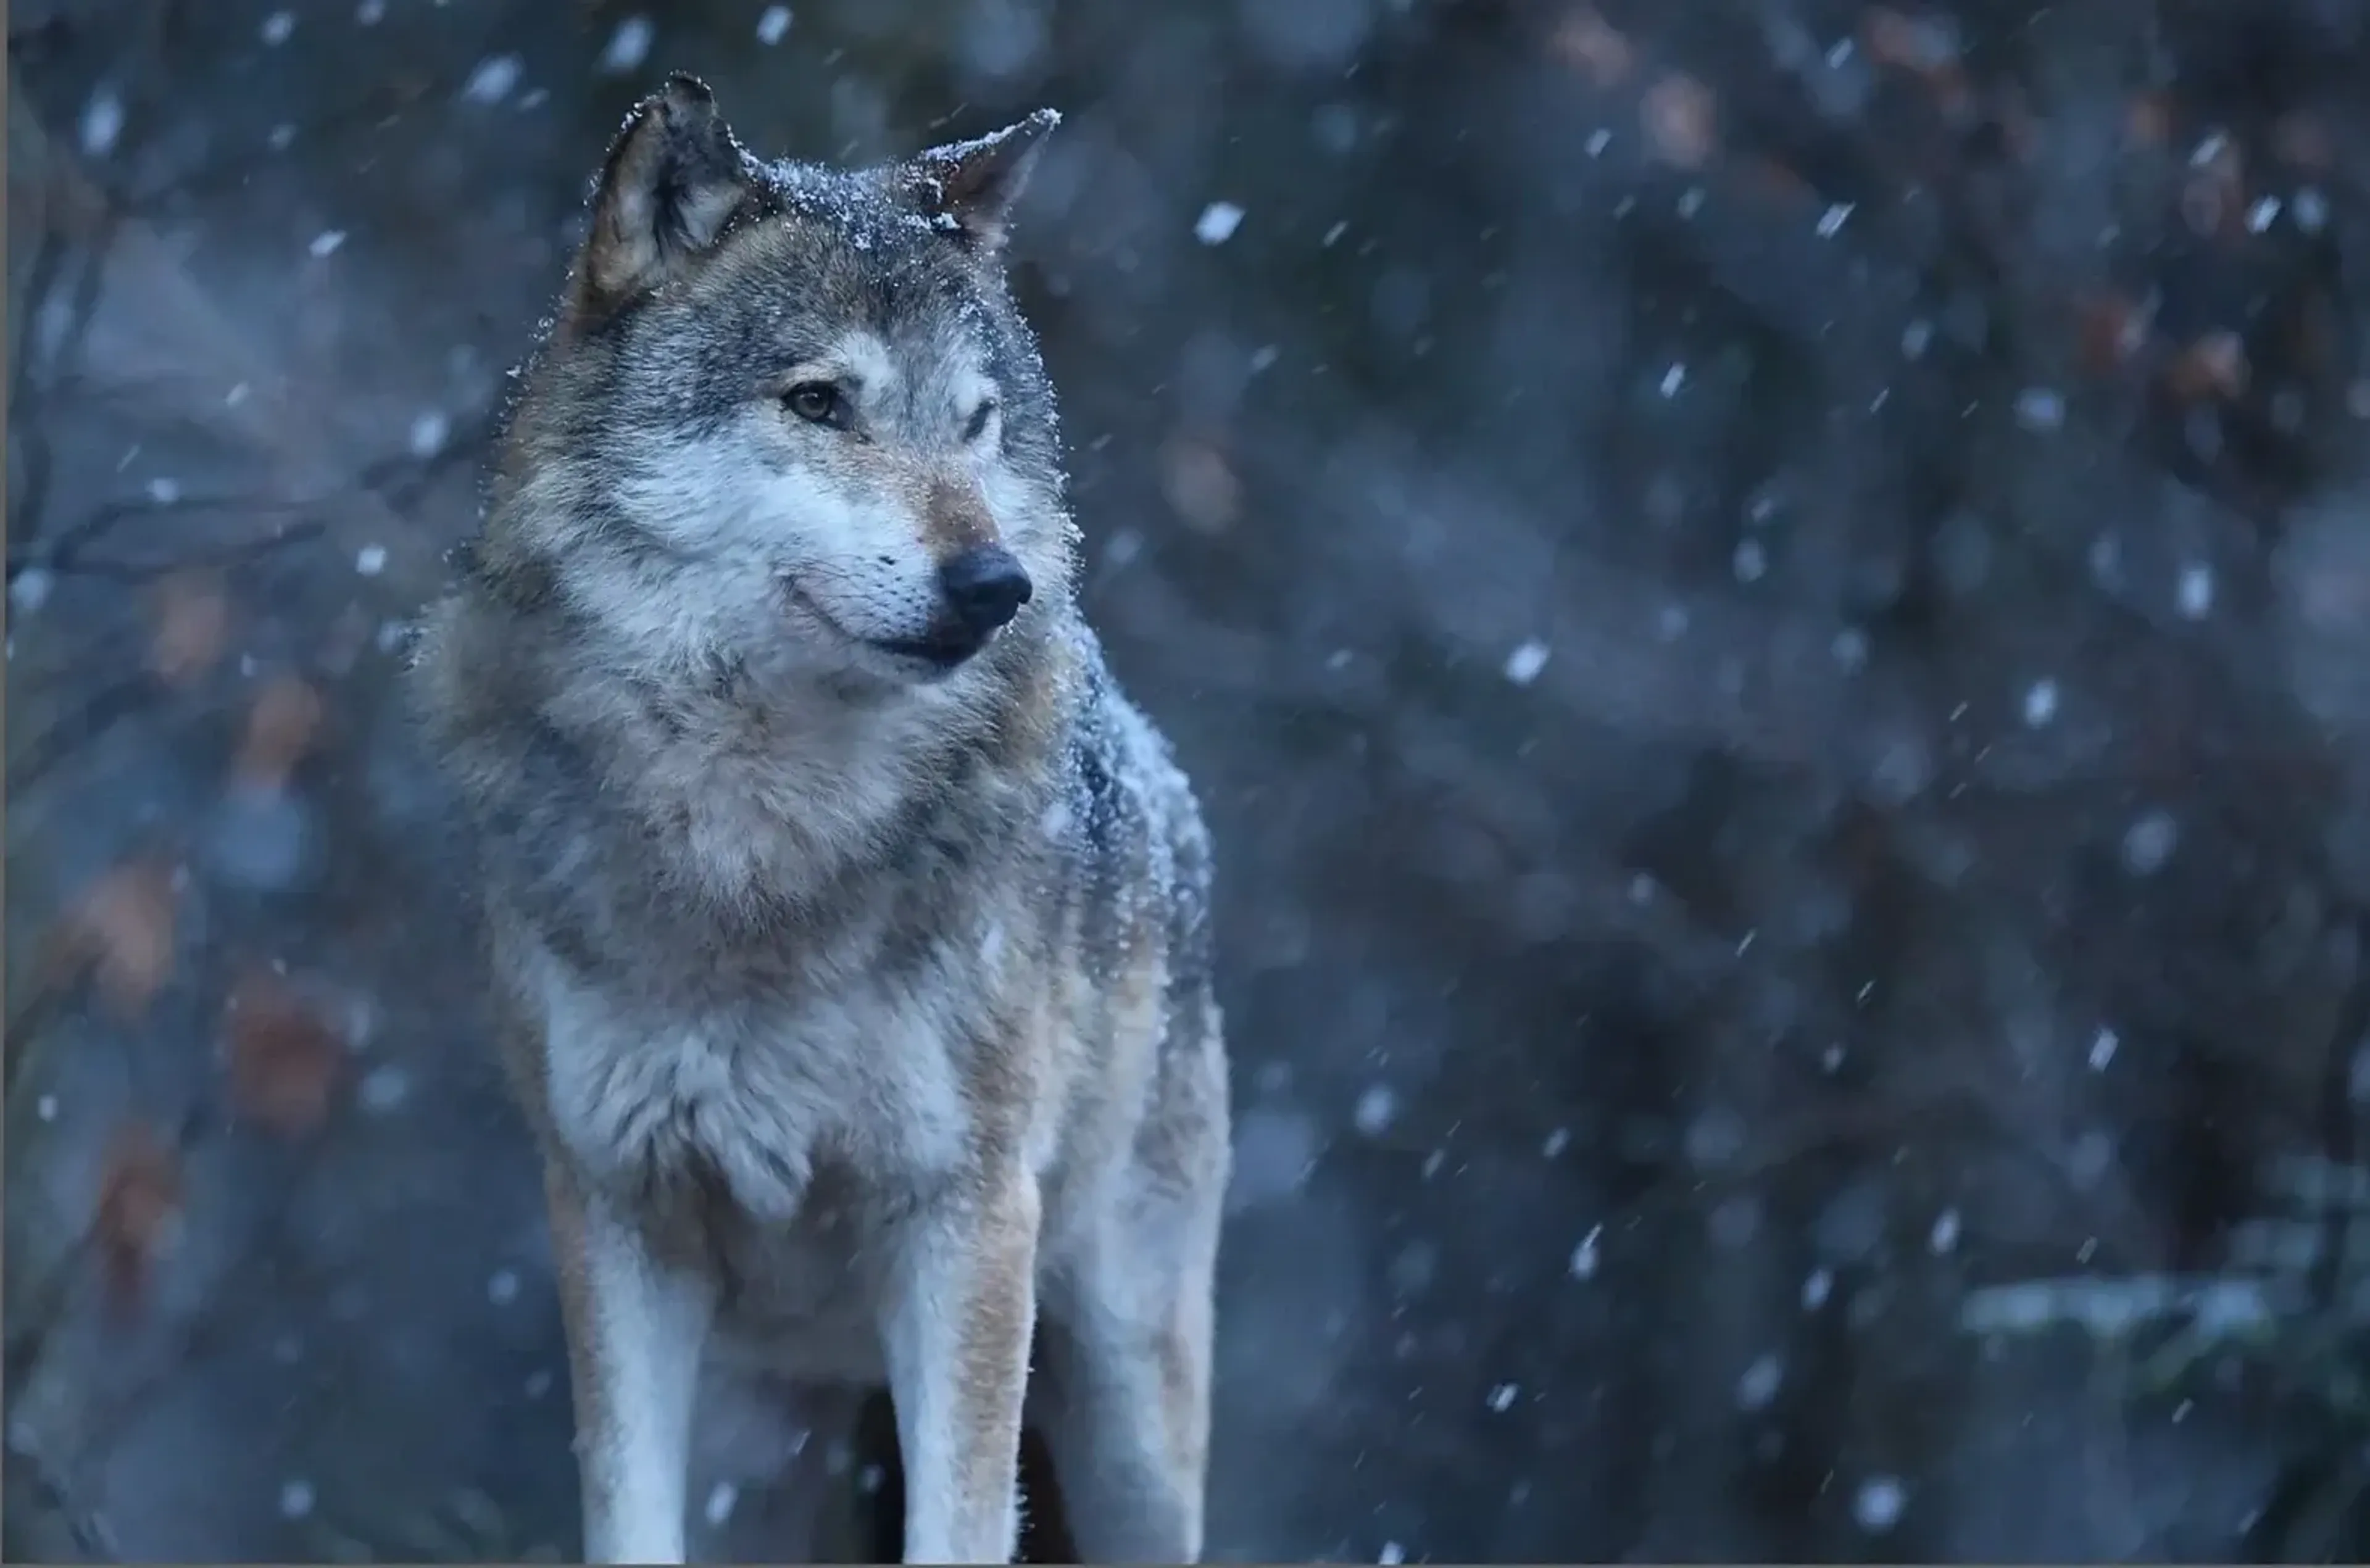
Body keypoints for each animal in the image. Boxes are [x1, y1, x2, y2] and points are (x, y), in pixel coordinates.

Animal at [405, 74, 1230, 1565]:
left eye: (976, 421)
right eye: (821, 402)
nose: (997, 584)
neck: (762, 841)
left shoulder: (965, 1219)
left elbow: (959, 1532)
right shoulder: (616, 1214)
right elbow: (624, 1520)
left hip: (1128, 1417)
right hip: (764, 1445)